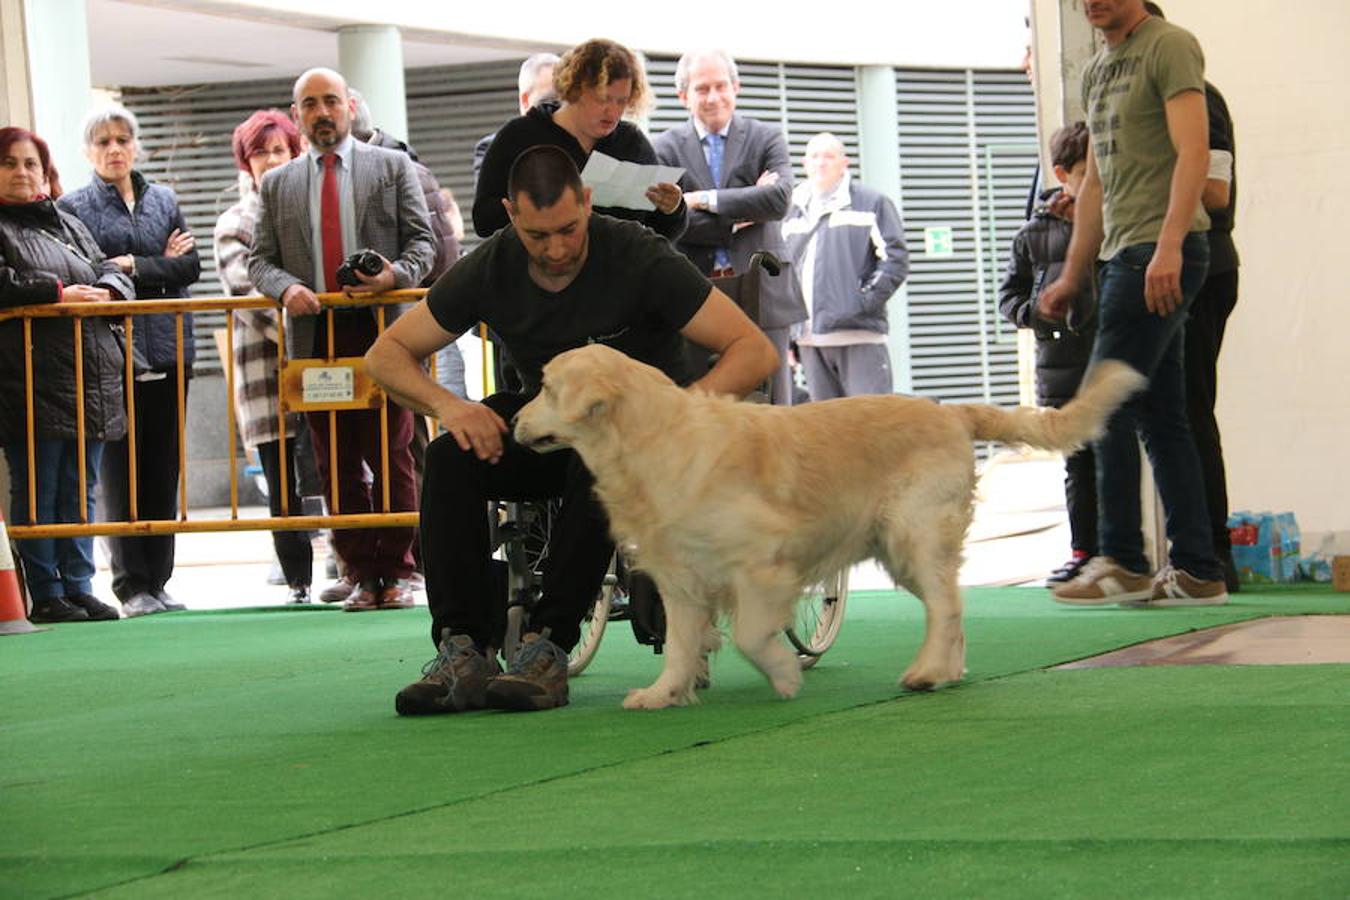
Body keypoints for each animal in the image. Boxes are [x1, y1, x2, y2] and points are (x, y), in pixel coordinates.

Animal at [510, 345, 1144, 712]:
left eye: (546, 387)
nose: (512, 420)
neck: (651, 443)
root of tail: (949, 410)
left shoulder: (763, 565)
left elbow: (751, 635)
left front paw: (786, 675)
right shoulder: (682, 580)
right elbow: (684, 645)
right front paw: (665, 693)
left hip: (911, 535)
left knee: (946, 606)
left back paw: (925, 672)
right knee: (953, 606)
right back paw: (946, 672)